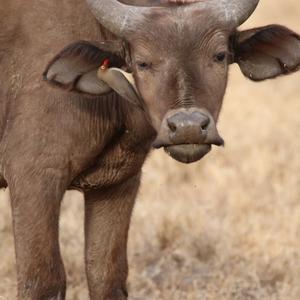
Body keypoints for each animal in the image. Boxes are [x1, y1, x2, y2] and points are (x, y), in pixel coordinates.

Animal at [0, 0, 298, 298]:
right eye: (143, 62)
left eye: (220, 55)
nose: (188, 127)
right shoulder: (35, 178)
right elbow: (42, 280)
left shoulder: (117, 183)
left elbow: (107, 275)